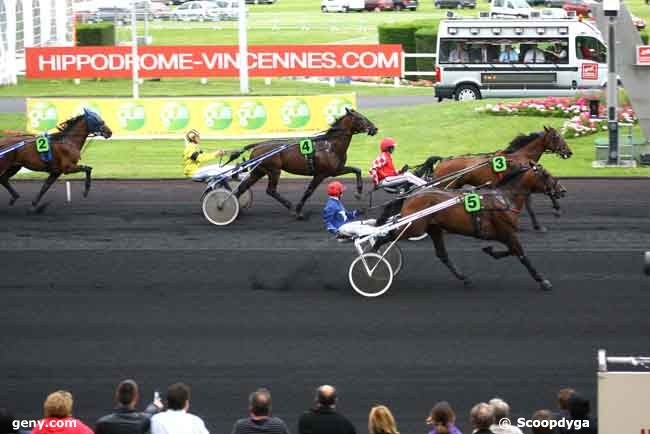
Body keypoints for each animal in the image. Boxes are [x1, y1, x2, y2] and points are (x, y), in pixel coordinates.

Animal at [230, 107, 378, 219]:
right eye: (360, 118)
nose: (374, 128)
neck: (330, 145)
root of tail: (258, 145)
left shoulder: (336, 170)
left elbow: (357, 169)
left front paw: (358, 192)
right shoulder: (320, 174)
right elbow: (309, 191)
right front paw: (298, 210)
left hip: (259, 171)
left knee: (242, 187)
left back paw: (232, 208)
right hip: (274, 170)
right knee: (270, 190)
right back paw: (289, 206)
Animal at [392, 161, 564, 290]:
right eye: (546, 174)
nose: (562, 190)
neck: (504, 199)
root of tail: (410, 196)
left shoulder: (503, 235)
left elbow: (511, 251)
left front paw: (491, 250)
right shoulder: (507, 232)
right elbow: (521, 255)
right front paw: (542, 280)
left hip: (434, 228)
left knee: (442, 254)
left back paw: (464, 278)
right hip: (413, 227)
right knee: (390, 236)